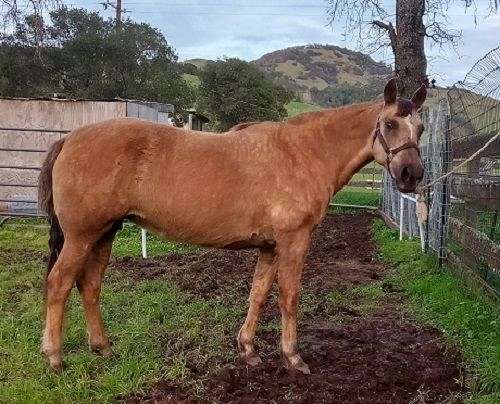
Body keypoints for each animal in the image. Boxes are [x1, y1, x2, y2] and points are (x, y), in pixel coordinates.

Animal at [38, 78, 426, 372]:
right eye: (389, 124)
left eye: (420, 128)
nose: (412, 174)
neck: (303, 153)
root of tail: (69, 139)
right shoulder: (294, 241)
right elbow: (289, 296)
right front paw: (293, 357)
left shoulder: (270, 247)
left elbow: (259, 294)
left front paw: (248, 350)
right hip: (81, 236)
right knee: (59, 284)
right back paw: (55, 358)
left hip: (104, 233)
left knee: (89, 286)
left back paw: (103, 347)